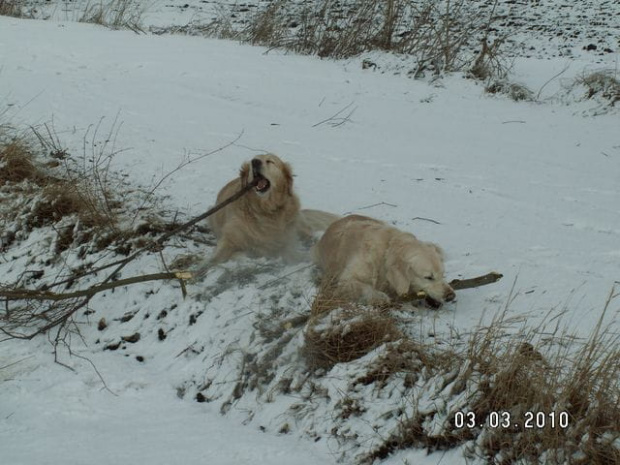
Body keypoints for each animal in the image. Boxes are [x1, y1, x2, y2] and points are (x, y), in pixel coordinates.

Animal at [205, 153, 340, 268]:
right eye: (252, 162)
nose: (255, 162)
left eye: (270, 161)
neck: (264, 210)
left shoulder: (286, 239)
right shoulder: (230, 238)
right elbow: (218, 257)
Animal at [314, 214, 456, 304]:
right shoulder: (346, 279)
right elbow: (365, 287)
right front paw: (380, 297)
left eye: (443, 274)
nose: (451, 296)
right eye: (428, 277)